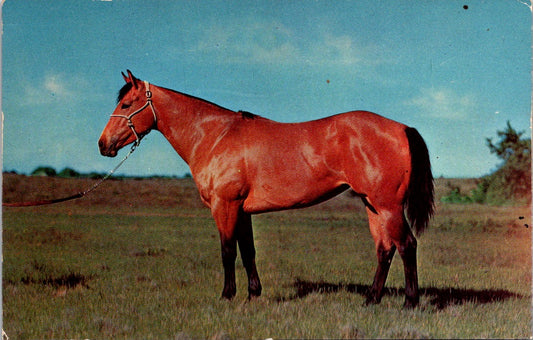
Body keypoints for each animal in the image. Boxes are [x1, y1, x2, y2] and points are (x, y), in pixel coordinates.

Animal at [98, 69, 432, 308]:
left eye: (126, 104)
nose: (103, 145)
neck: (216, 135)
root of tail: (401, 128)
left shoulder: (225, 205)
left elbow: (227, 251)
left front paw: (227, 295)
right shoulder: (242, 210)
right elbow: (248, 251)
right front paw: (253, 294)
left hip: (387, 206)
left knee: (407, 245)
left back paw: (409, 302)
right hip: (372, 204)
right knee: (384, 249)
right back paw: (370, 299)